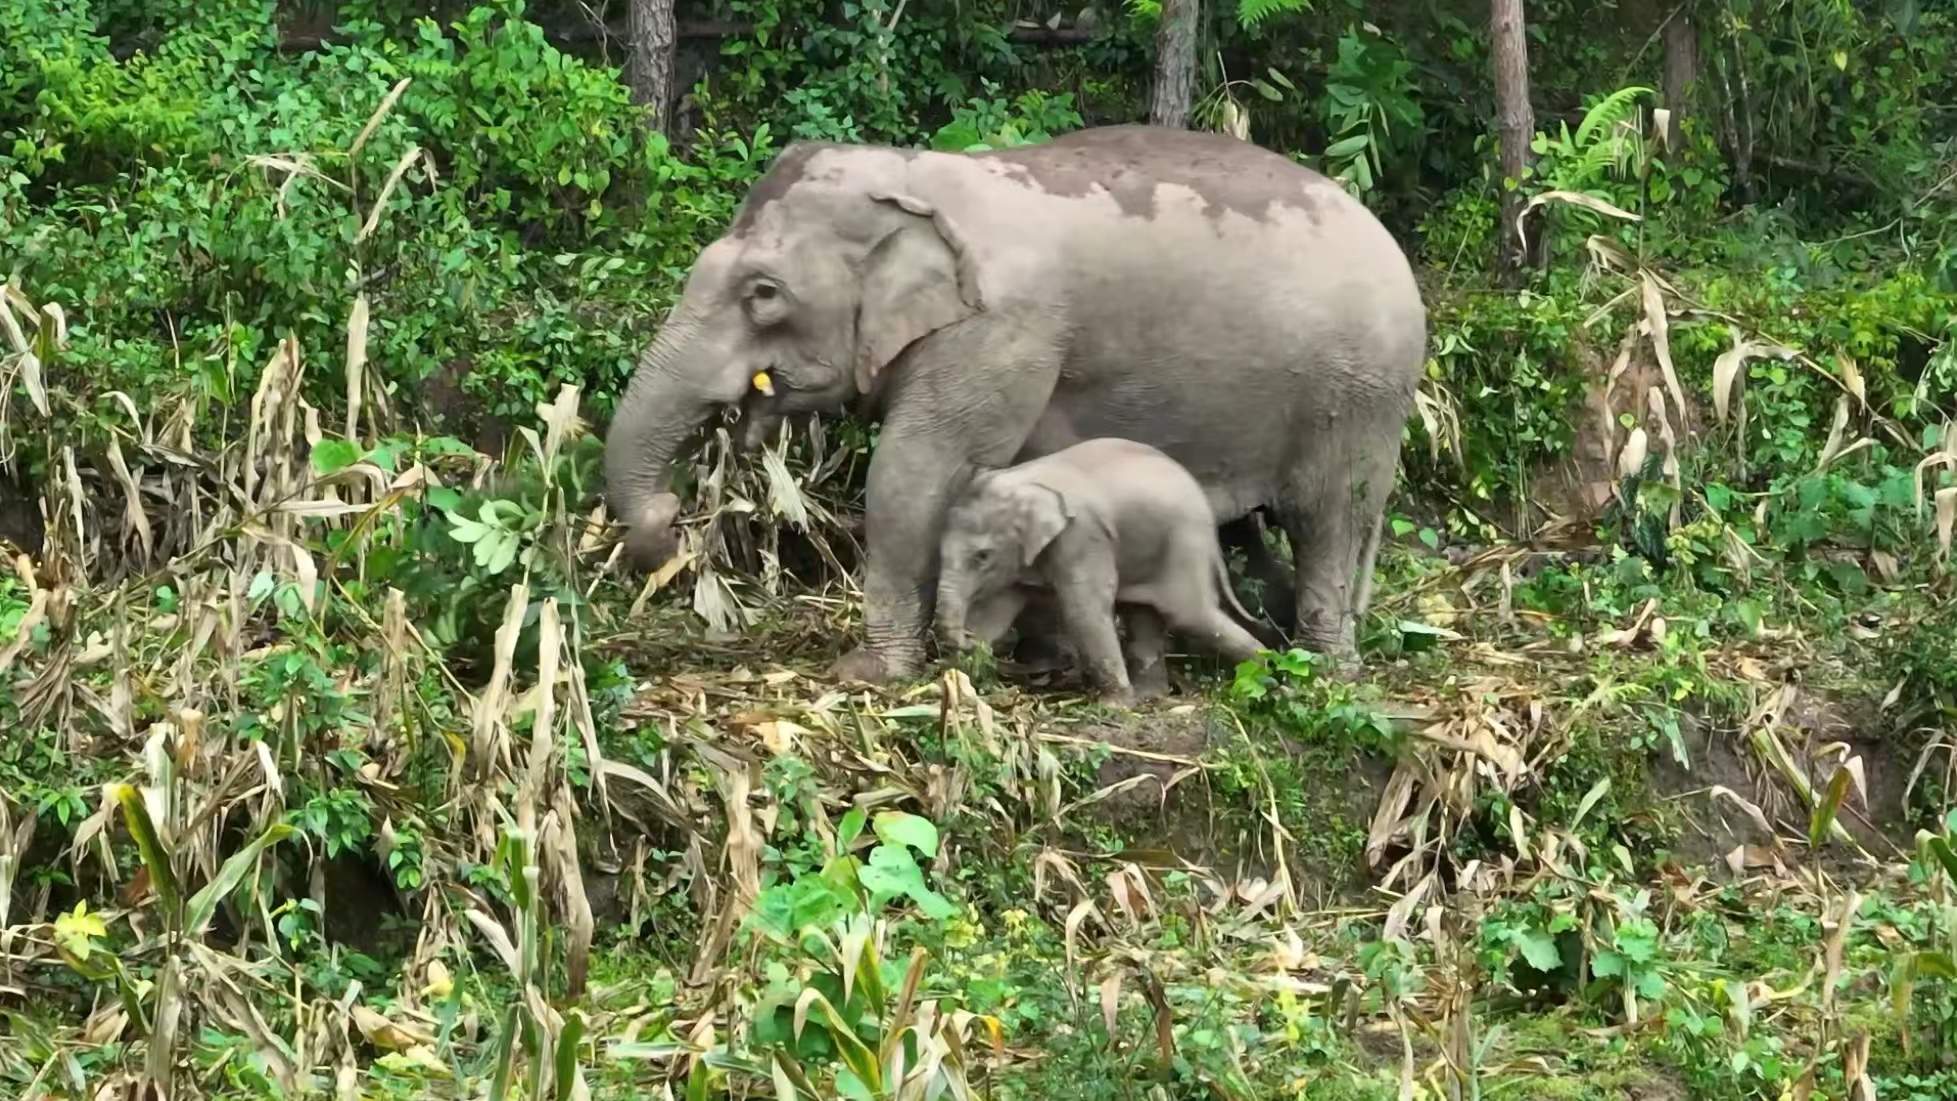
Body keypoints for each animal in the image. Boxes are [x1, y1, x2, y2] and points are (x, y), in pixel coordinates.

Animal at [931, 438, 1268, 707]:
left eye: (982, 556)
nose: (966, 637)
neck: (1024, 479)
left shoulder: (1084, 536)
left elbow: (1084, 611)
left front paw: (1112, 706)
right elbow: (999, 613)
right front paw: (959, 674)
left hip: (1184, 545)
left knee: (1190, 615)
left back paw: (1267, 673)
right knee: (1143, 615)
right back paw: (1149, 696)